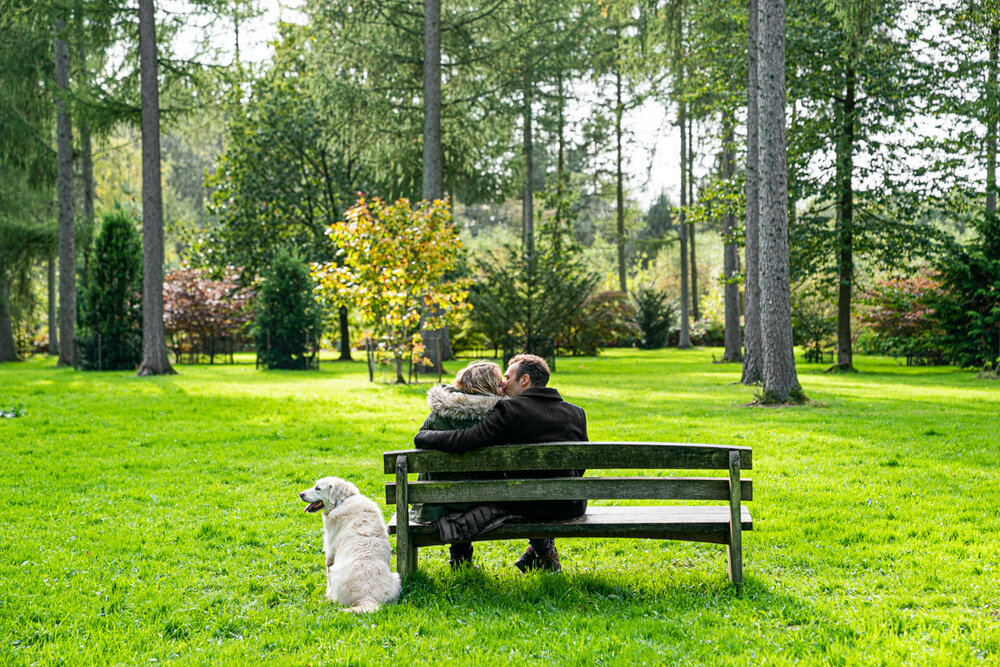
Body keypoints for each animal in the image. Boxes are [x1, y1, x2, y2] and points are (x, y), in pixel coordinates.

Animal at [298, 478, 400, 612]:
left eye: (318, 488)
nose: (300, 494)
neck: (342, 501)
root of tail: (367, 598)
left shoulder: (330, 552)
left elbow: (327, 576)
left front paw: (326, 595)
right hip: (397, 578)